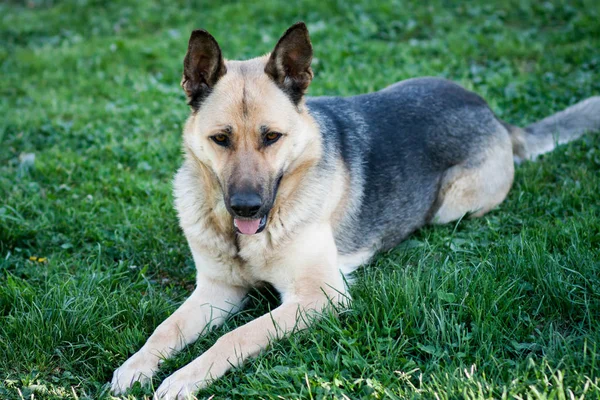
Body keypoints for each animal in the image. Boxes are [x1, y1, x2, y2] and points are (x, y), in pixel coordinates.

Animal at [110, 22, 596, 400]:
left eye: (271, 137)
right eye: (220, 139)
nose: (245, 206)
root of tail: (491, 111)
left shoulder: (317, 297)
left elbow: (237, 334)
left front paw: (184, 378)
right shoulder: (216, 291)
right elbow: (165, 330)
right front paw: (136, 367)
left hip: (452, 207)